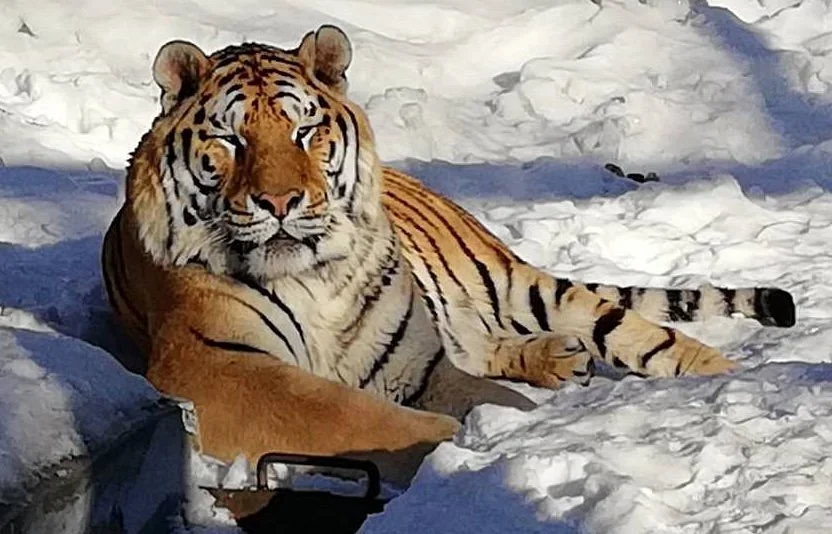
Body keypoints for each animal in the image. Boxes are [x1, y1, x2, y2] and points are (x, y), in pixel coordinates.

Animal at [101, 25, 796, 485]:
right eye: (230, 140)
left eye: (304, 130)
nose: (281, 201)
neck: (311, 278)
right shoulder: (218, 367)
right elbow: (354, 417)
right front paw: (457, 447)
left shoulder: (419, 363)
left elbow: (486, 397)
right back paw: (559, 359)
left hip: (525, 286)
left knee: (654, 339)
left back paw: (740, 383)